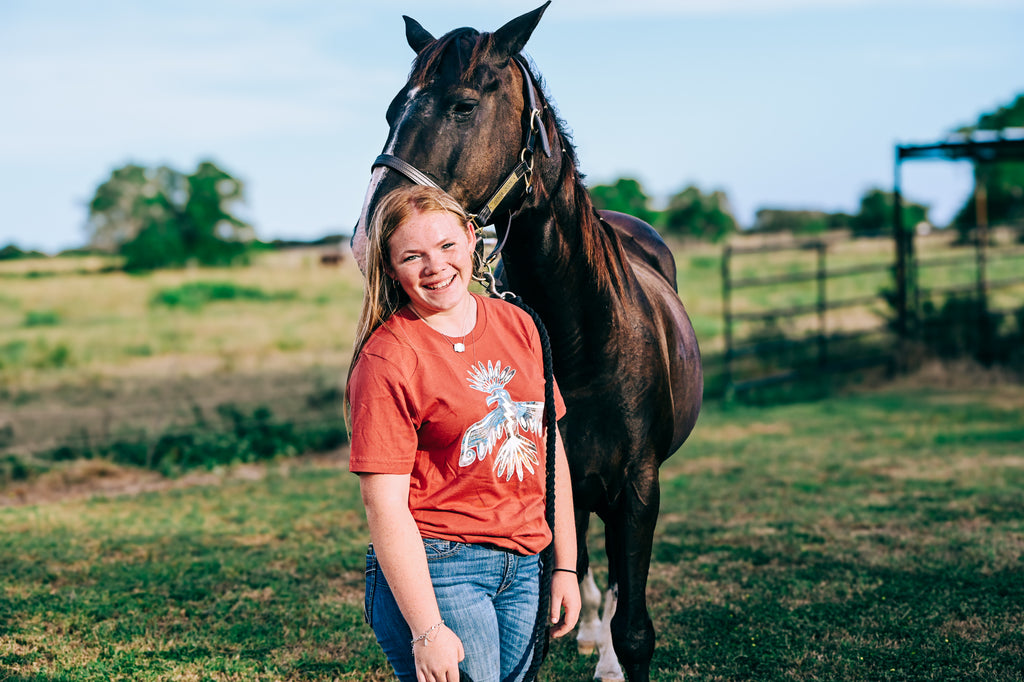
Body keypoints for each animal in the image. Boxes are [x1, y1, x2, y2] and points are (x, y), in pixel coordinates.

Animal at [351, 4, 702, 680]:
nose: (368, 233)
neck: (586, 337)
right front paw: (589, 631)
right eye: (390, 112)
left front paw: (617, 655)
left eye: (463, 105)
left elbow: (635, 627)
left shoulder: (638, 488)